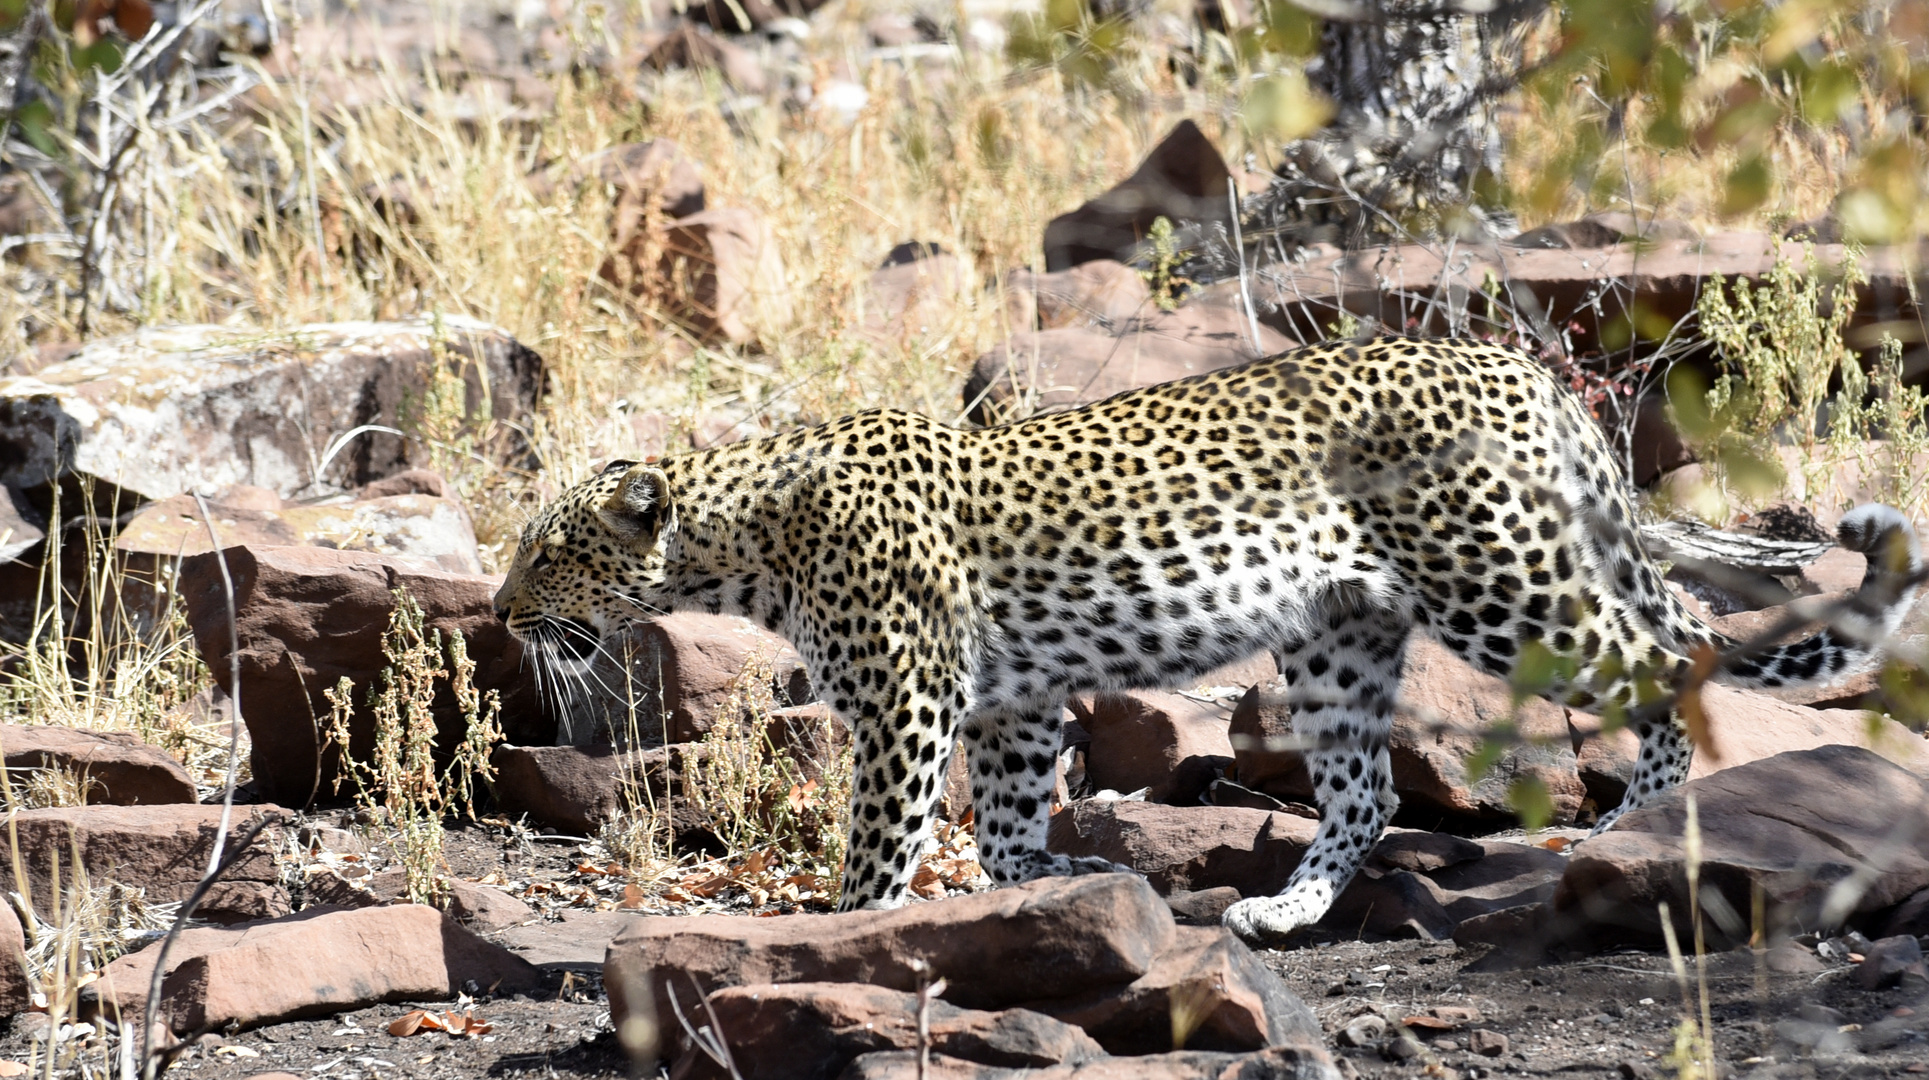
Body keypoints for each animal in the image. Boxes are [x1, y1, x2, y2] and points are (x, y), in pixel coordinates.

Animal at [489, 337, 1921, 945]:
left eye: (548, 553)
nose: (500, 614)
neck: (743, 537)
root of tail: (1518, 363)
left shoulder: (910, 699)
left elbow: (884, 842)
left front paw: (845, 934)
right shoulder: (1006, 703)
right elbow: (1006, 826)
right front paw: (1041, 901)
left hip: (1503, 584)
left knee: (1671, 666)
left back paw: (1640, 823)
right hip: (1341, 640)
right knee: (1370, 785)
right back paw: (1285, 909)